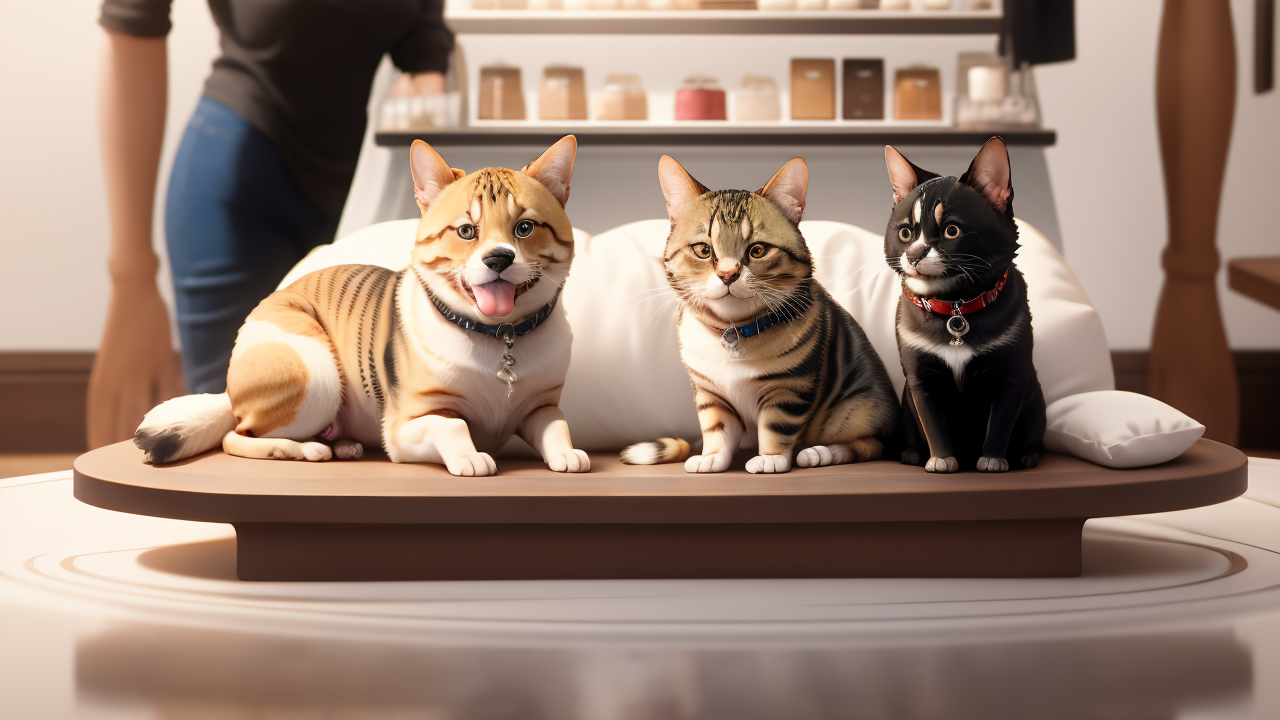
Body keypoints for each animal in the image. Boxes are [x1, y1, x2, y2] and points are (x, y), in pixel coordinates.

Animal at [132, 136, 586, 474]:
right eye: (466, 231)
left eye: (524, 228)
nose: (499, 259)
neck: (500, 335)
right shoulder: (406, 427)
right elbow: (453, 426)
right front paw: (471, 456)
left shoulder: (541, 405)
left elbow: (557, 425)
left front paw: (567, 454)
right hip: (315, 374)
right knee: (239, 436)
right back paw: (306, 450)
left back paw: (343, 445)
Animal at [624, 154, 896, 474]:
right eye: (703, 249)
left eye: (757, 250)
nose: (727, 275)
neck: (733, 330)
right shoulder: (710, 393)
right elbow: (716, 427)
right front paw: (711, 457)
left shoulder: (790, 386)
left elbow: (777, 426)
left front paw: (770, 459)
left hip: (859, 406)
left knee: (866, 444)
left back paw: (819, 453)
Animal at [885, 135, 1044, 471]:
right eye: (905, 233)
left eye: (951, 230)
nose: (914, 254)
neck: (953, 307)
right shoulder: (920, 380)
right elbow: (932, 422)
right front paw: (942, 459)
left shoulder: (1011, 375)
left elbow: (1001, 422)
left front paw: (993, 459)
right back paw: (912, 454)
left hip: (1037, 403)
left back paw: (1027, 456)